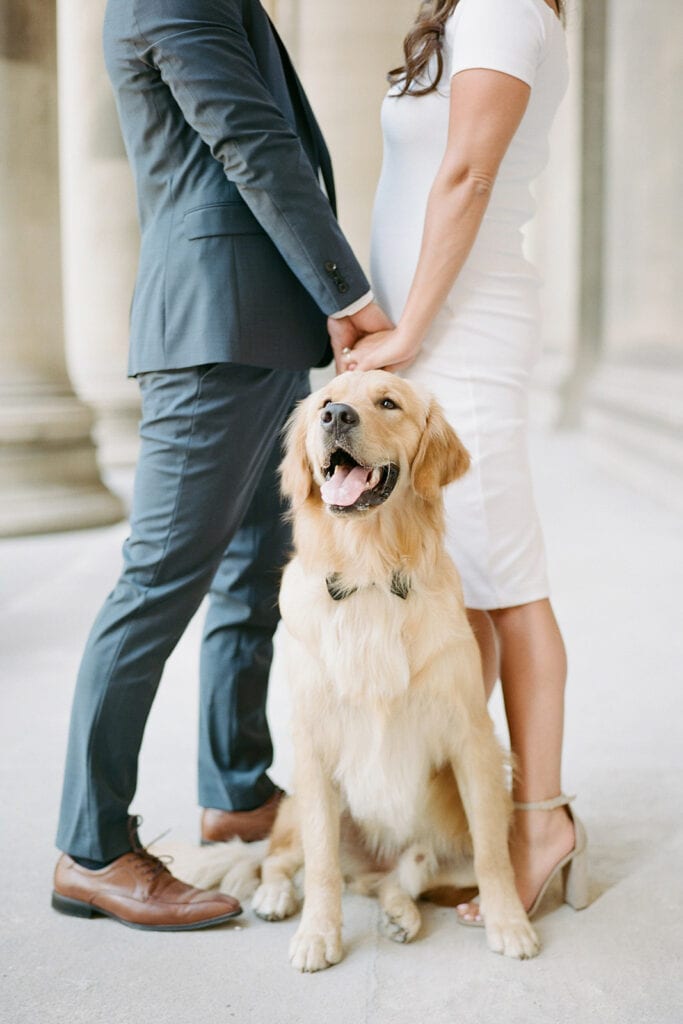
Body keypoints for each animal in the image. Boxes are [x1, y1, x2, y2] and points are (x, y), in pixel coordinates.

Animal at [253, 368, 540, 966]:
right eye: (324, 400)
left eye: (388, 403)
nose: (336, 416)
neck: (368, 573)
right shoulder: (312, 743)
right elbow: (321, 865)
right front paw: (318, 934)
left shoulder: (473, 739)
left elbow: (493, 857)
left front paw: (509, 923)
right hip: (301, 802)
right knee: (282, 858)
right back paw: (275, 895)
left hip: (444, 838)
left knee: (397, 878)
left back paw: (400, 914)